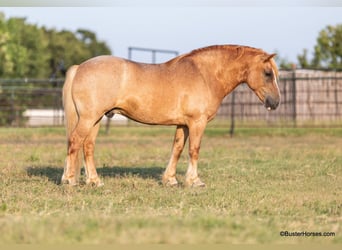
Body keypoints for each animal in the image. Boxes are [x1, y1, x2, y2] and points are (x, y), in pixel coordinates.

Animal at [61, 44, 280, 188]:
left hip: (96, 119)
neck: (204, 75)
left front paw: (171, 179)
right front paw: (194, 181)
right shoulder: (197, 123)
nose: (275, 102)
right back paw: (70, 180)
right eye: (268, 73)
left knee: (88, 146)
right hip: (89, 118)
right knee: (75, 141)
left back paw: (94, 181)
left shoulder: (183, 124)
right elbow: (194, 150)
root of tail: (79, 67)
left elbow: (177, 149)